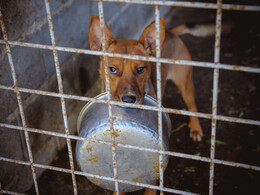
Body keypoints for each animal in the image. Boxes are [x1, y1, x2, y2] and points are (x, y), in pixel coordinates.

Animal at [88, 15, 204, 195]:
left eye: (141, 69)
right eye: (112, 69)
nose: (129, 99)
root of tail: (170, 32)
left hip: (185, 84)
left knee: (192, 107)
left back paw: (196, 129)